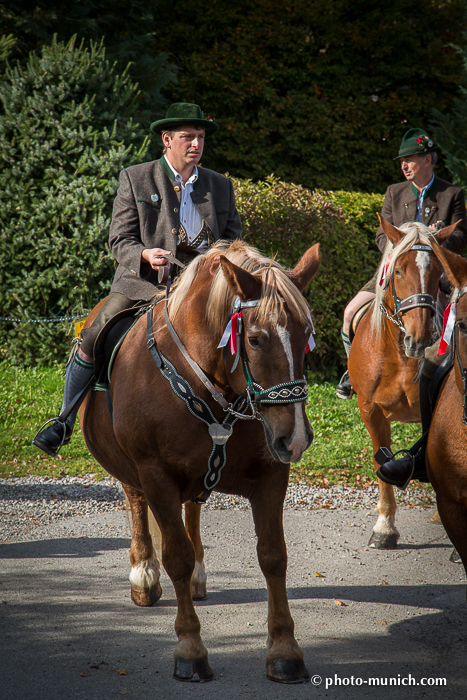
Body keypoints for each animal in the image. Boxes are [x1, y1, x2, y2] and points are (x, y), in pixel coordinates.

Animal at [80, 241, 322, 684]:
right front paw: (190, 650)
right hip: (133, 469)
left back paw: (195, 575)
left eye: (305, 337)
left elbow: (273, 556)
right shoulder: (155, 474)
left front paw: (284, 650)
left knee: (191, 510)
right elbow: (175, 555)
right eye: (256, 339)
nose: (294, 438)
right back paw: (143, 572)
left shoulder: (271, 475)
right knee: (136, 502)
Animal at [350, 217, 456, 548]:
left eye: (439, 275)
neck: (398, 356)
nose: (419, 339)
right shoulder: (371, 412)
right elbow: (379, 462)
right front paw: (384, 527)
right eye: (398, 271)